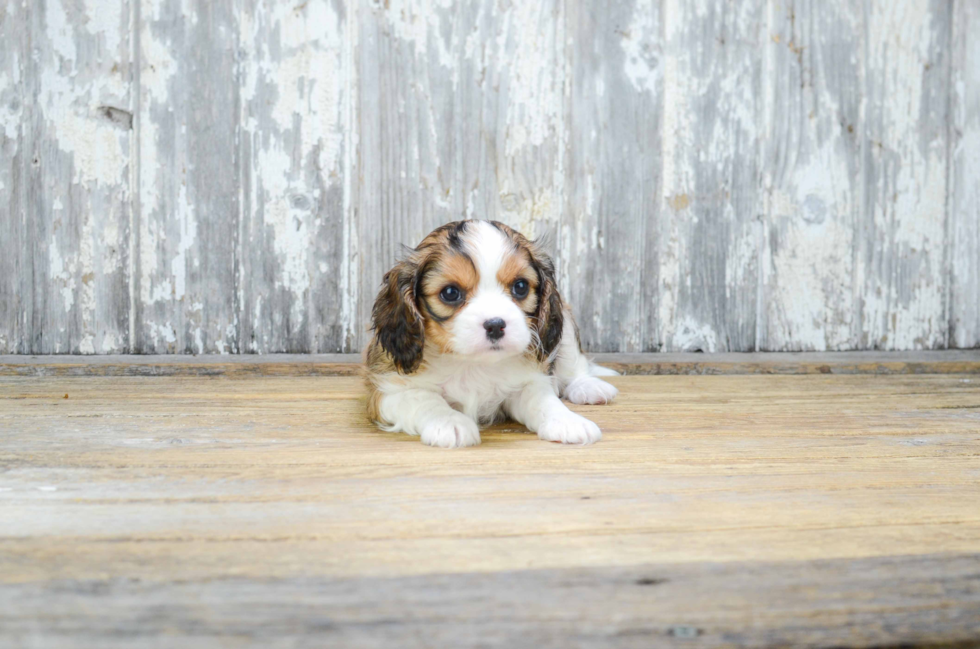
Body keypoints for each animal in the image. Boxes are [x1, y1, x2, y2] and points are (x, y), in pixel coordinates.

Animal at [364, 220, 616, 448]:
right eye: (450, 292)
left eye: (521, 287)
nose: (495, 325)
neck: (472, 363)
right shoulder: (389, 391)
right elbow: (426, 399)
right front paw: (450, 423)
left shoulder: (528, 382)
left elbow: (543, 401)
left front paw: (567, 421)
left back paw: (588, 386)